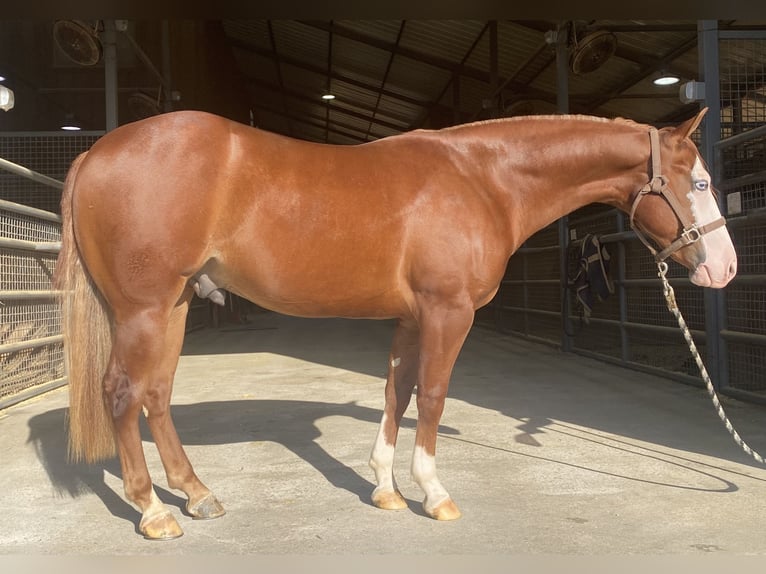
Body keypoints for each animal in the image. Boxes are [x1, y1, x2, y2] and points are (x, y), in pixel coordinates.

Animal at [54, 107, 737, 540]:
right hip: (142, 311)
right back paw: (153, 512)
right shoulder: (447, 312)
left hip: (173, 307)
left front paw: (385, 488)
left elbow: (397, 392)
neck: (482, 179)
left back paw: (196, 495)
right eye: (701, 181)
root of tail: (96, 151)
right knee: (122, 393)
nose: (726, 268)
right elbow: (432, 395)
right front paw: (433, 495)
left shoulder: (413, 317)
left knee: (156, 395)